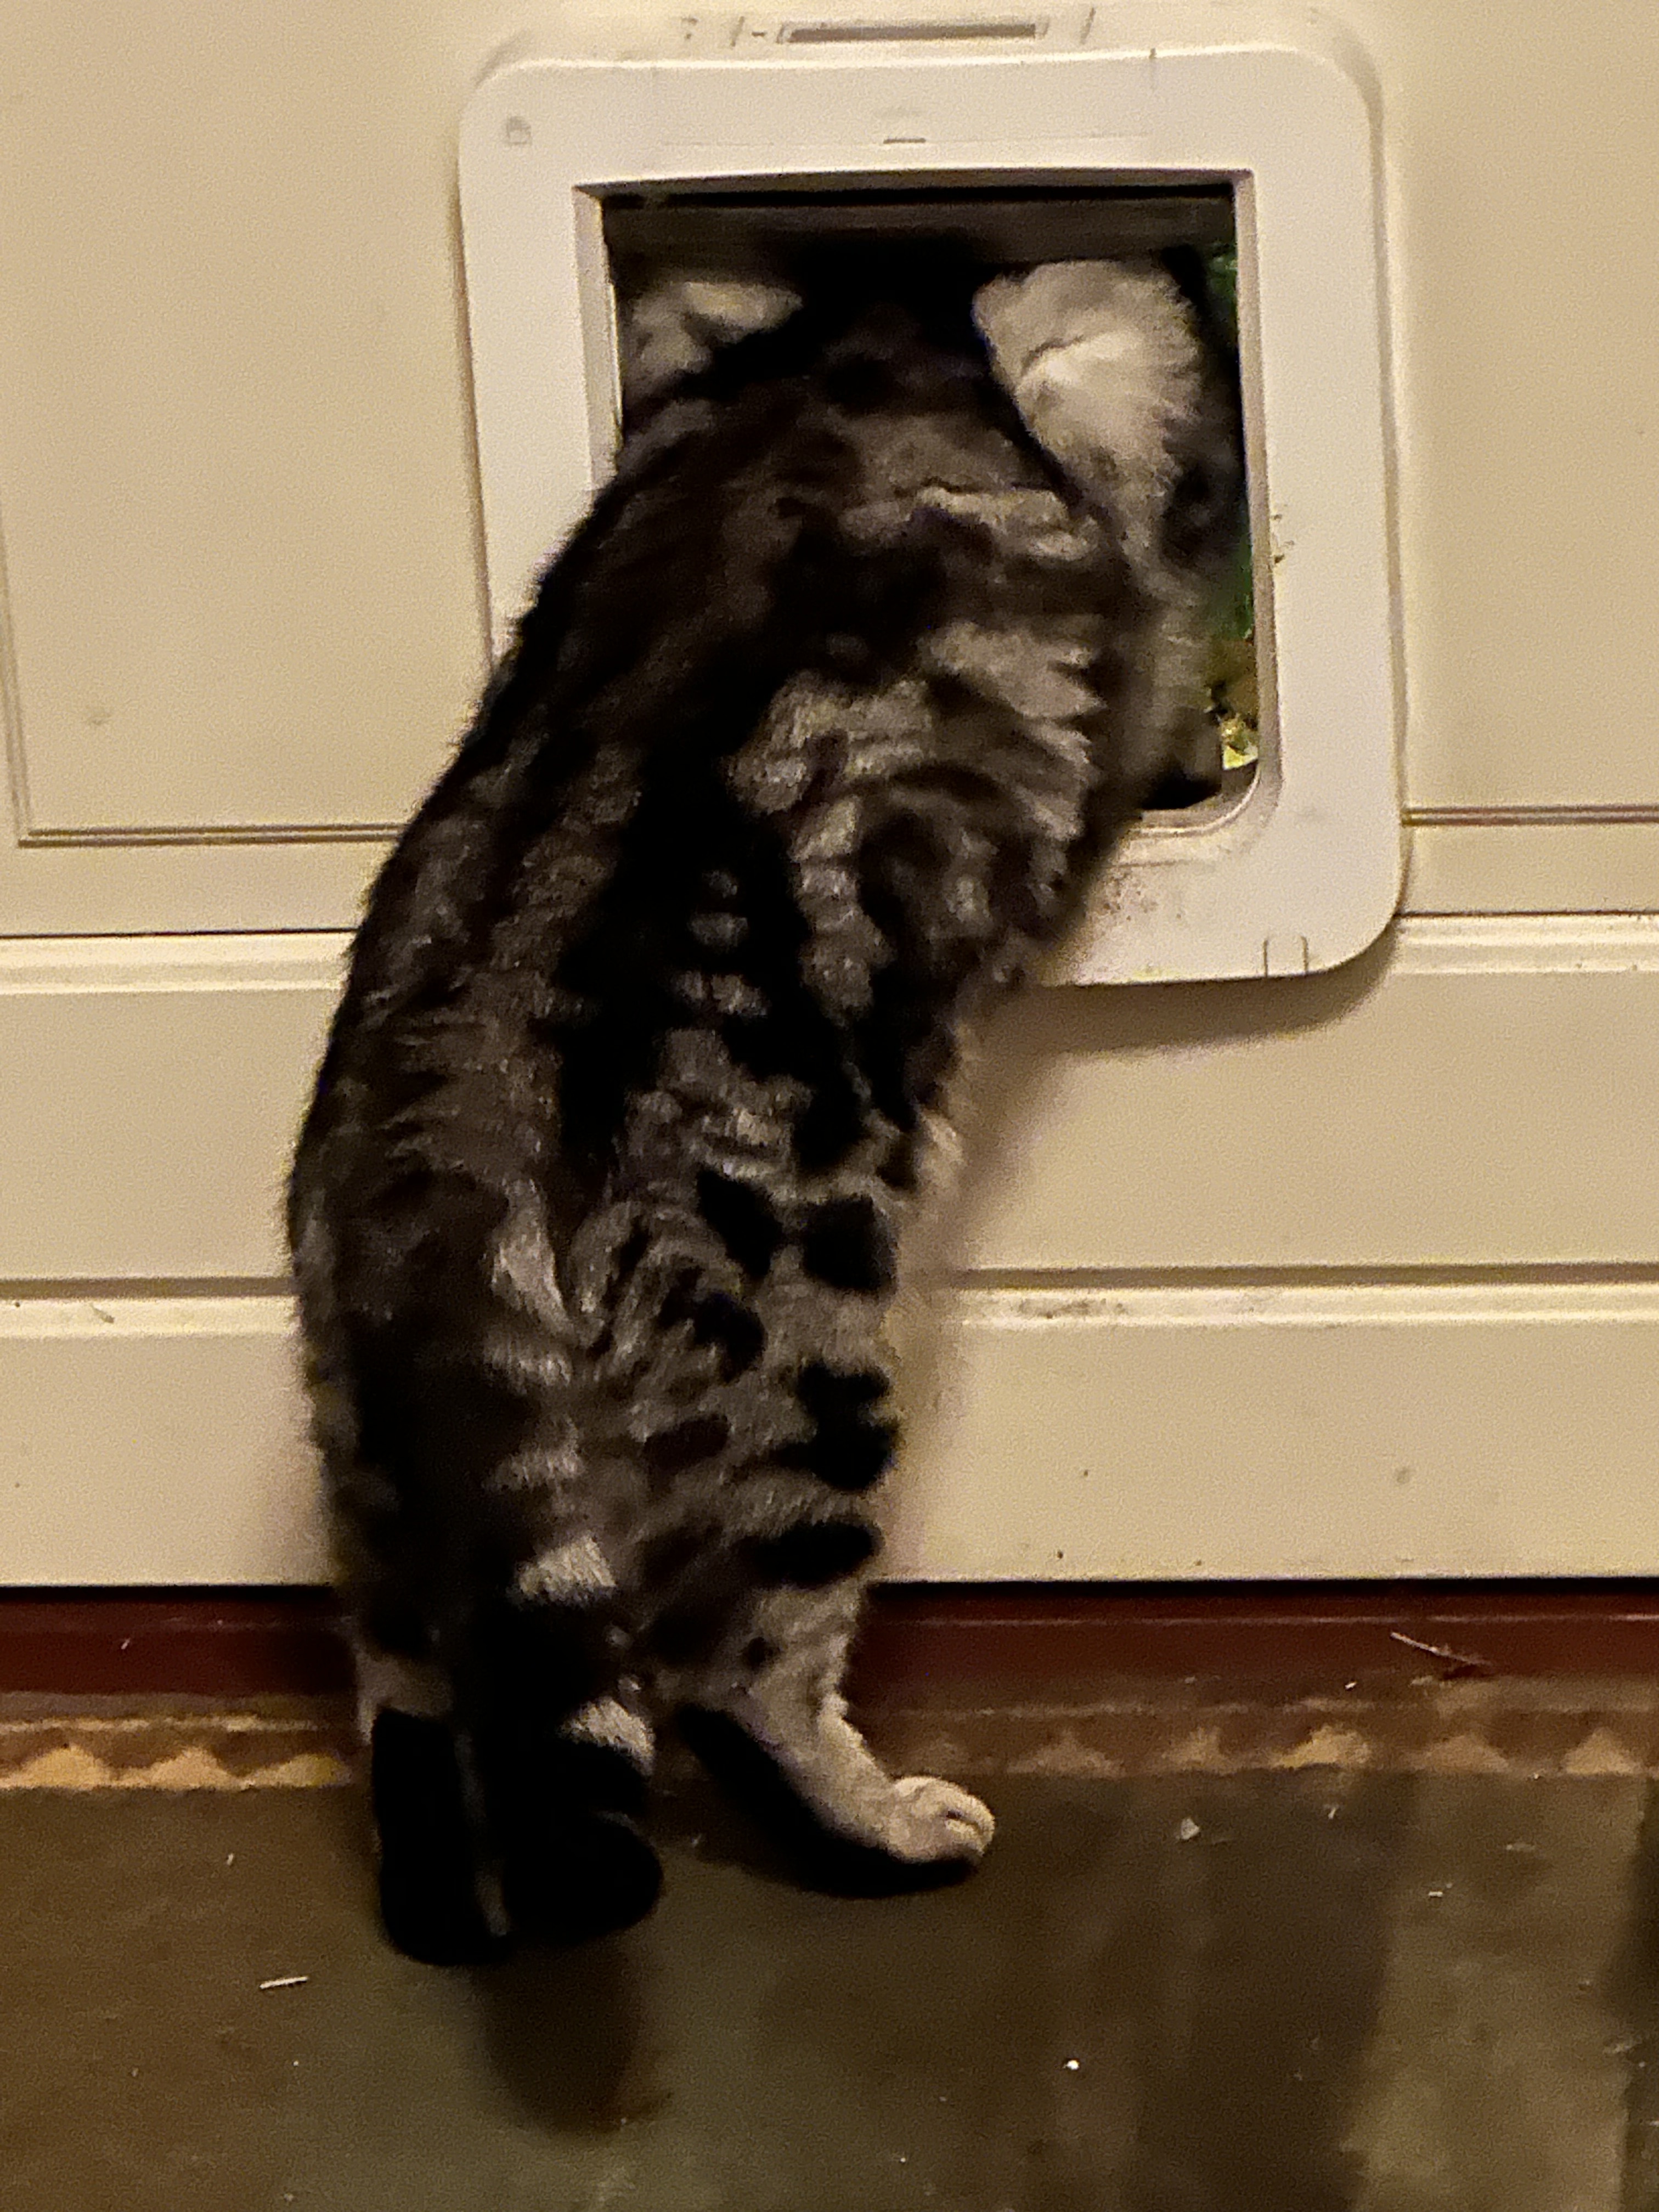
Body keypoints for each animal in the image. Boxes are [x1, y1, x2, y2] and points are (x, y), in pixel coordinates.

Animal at [287, 246, 1243, 1963]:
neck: (827, 384)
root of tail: (431, 1132)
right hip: (801, 1369)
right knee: (740, 1671)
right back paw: (890, 1826)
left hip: (382, 1475)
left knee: (412, 1708)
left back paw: (445, 1903)